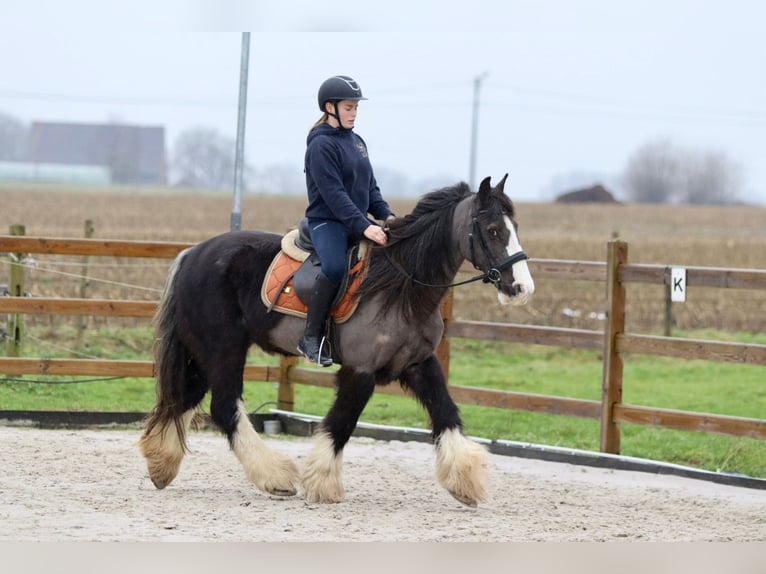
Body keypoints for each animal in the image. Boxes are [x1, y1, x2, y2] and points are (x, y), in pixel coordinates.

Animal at [140, 173, 536, 506]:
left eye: (515, 227)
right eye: (492, 230)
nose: (522, 288)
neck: (400, 288)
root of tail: (192, 254)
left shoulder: (420, 364)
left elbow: (446, 413)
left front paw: (465, 480)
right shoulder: (360, 371)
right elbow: (342, 422)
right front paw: (323, 482)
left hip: (202, 355)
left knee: (184, 400)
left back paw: (161, 464)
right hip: (224, 351)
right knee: (225, 407)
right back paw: (274, 476)